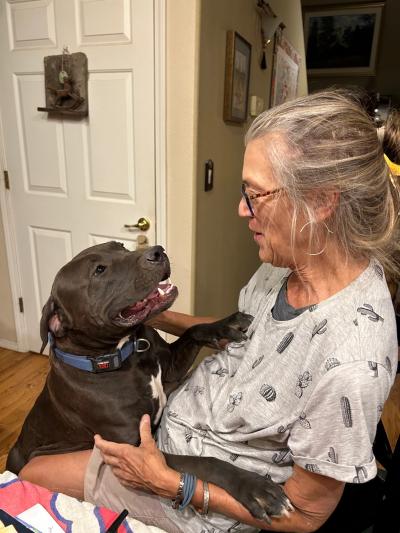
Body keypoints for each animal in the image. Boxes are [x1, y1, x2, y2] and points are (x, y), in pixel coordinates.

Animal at [7, 242, 290, 524]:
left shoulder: (172, 367)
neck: (125, 354)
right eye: (99, 271)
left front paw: (224, 324)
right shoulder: (133, 450)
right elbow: (202, 462)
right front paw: (253, 487)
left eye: (120, 247)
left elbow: (194, 330)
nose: (157, 252)